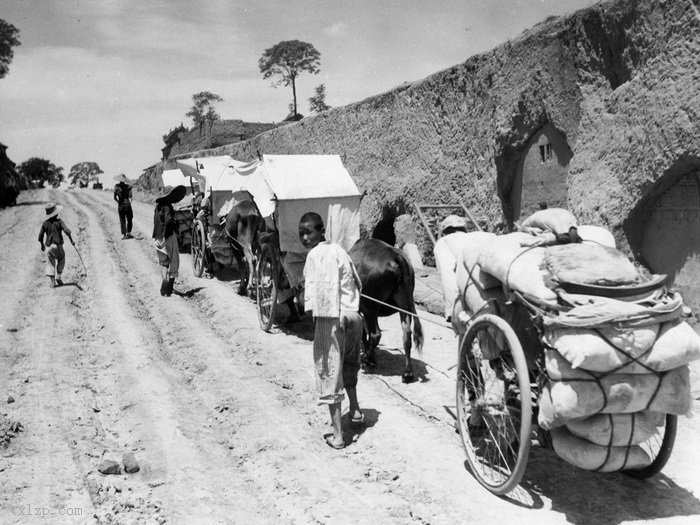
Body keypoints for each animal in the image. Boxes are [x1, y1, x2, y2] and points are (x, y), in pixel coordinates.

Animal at [348, 237, 424, 380]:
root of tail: (396, 257)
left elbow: (363, 332)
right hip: (404, 305)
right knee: (406, 335)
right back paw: (407, 372)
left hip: (370, 306)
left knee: (375, 334)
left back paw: (367, 358)